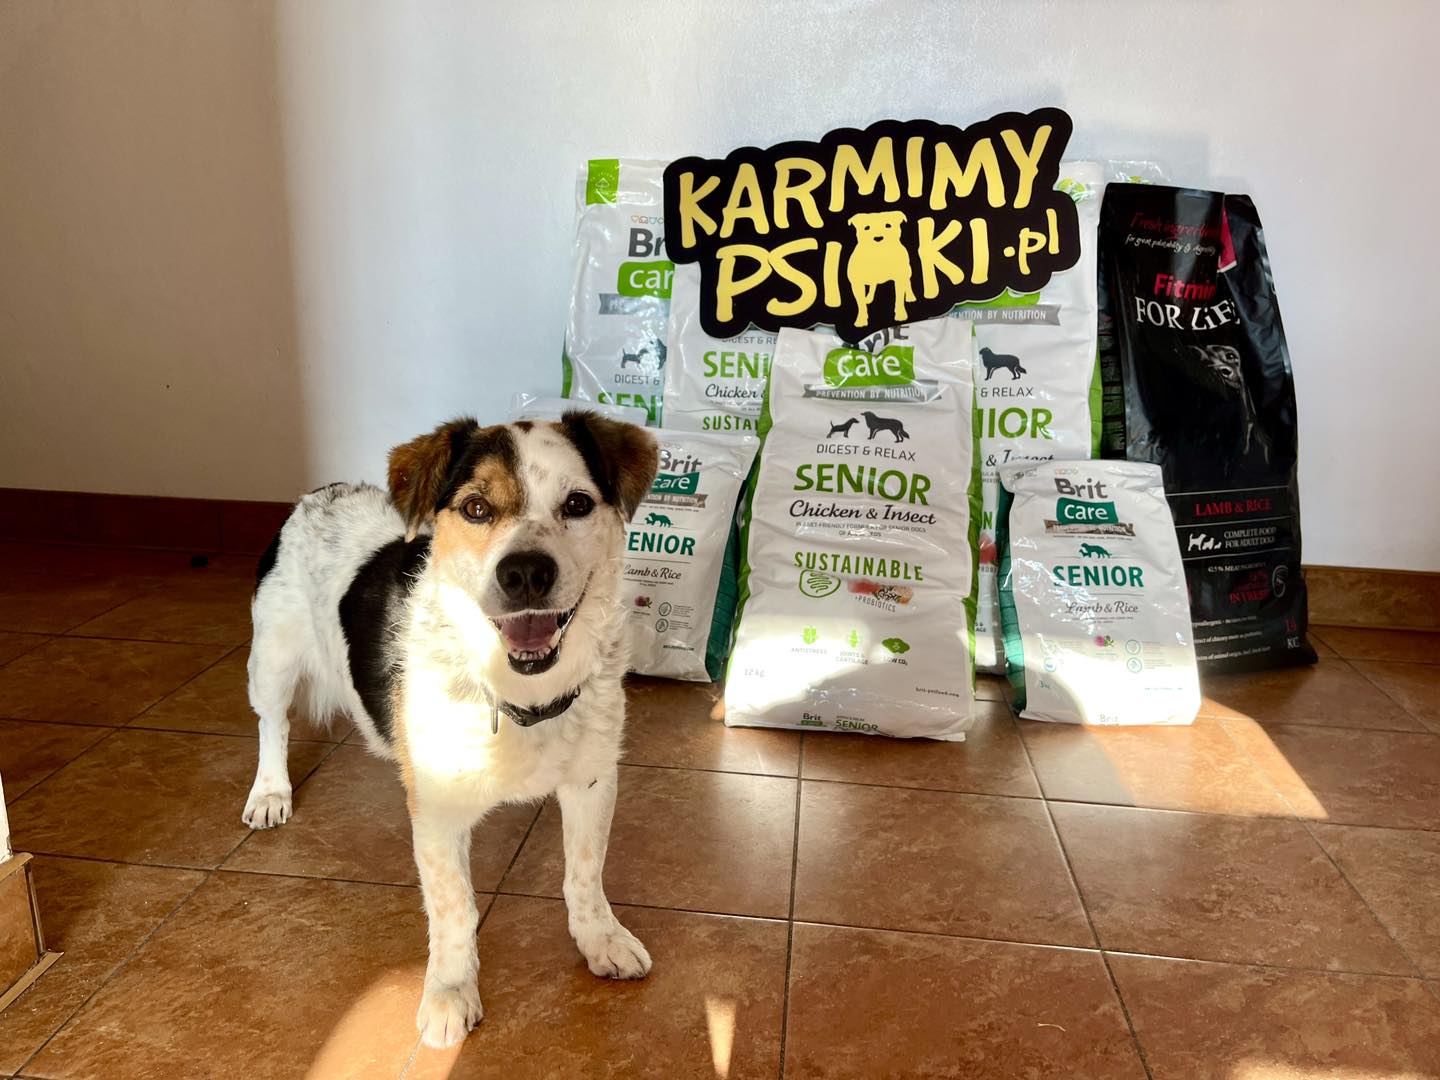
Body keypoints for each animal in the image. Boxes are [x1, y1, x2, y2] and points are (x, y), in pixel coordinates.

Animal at [243, 412, 658, 1049]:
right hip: (272, 659)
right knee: (273, 724)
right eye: (476, 508)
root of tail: (320, 494)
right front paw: (450, 991)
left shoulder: (591, 781)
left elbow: (585, 874)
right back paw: (270, 792)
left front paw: (601, 941)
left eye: (578, 503)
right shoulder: (437, 813)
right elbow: (455, 907)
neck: (520, 696)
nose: (526, 573)